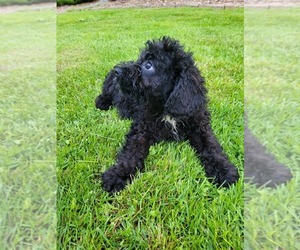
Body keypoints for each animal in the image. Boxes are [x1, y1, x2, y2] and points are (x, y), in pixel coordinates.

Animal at [95, 36, 239, 193]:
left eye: (148, 65)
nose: (117, 70)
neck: (166, 107)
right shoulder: (141, 129)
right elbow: (132, 151)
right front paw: (117, 175)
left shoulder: (200, 126)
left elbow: (211, 146)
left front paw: (224, 170)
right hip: (109, 85)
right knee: (105, 93)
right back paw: (102, 103)